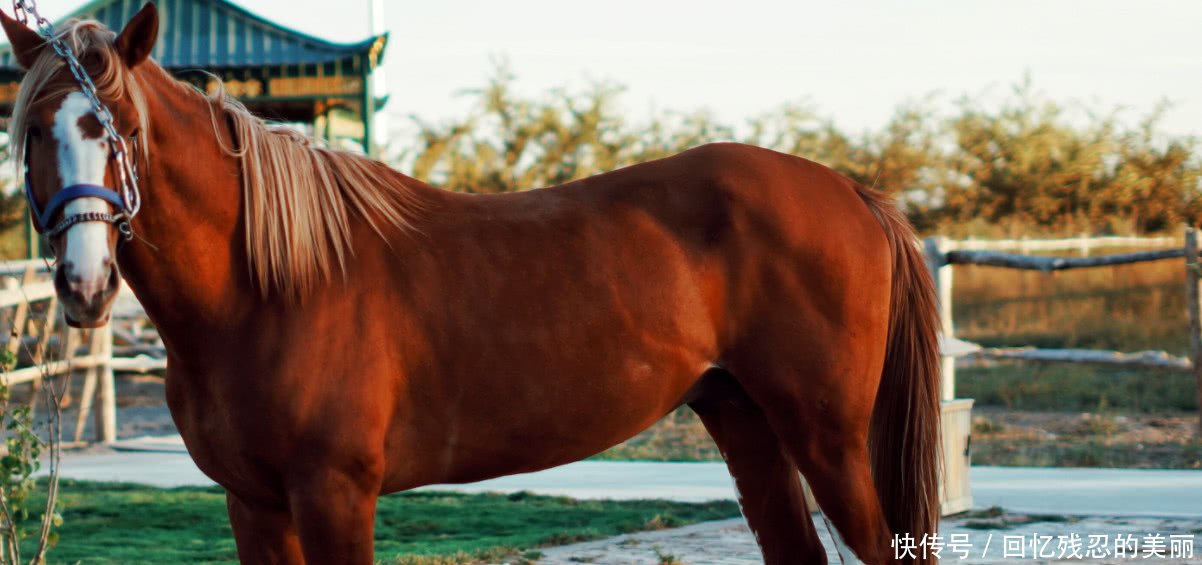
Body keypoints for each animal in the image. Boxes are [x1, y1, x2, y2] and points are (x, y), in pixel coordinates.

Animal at [2, 4, 941, 564]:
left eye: (120, 130)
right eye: (37, 130)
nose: (85, 284)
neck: (266, 291)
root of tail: (851, 190)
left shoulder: (335, 493)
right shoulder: (253, 504)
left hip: (830, 438)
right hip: (743, 416)